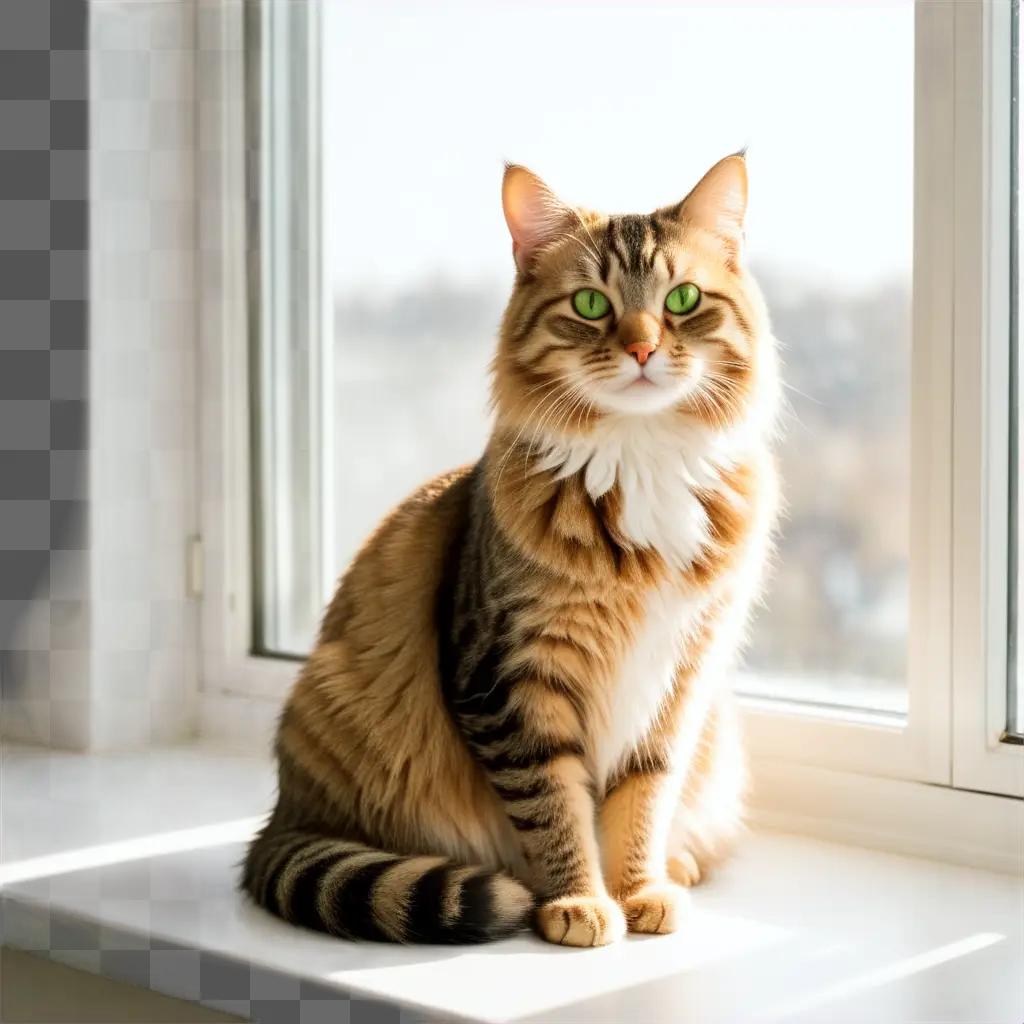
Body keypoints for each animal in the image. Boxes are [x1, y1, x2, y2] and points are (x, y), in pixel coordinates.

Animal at [243, 155, 778, 946]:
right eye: (590, 304)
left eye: (682, 299)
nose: (642, 348)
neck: (641, 459)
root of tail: (279, 816)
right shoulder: (510, 680)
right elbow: (554, 808)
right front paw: (580, 902)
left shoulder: (677, 682)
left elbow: (641, 803)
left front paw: (638, 890)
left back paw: (677, 868)